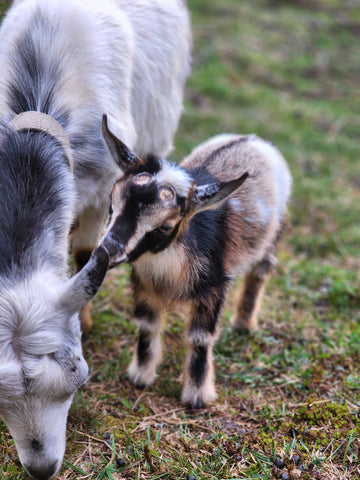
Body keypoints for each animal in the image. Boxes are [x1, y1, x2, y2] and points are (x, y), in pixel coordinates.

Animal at [100, 116, 292, 408]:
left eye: (165, 227)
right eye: (112, 205)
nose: (108, 250)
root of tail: (255, 139)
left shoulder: (213, 287)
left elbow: (200, 337)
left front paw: (197, 397)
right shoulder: (144, 283)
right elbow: (147, 326)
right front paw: (141, 377)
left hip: (273, 236)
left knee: (260, 273)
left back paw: (244, 325)